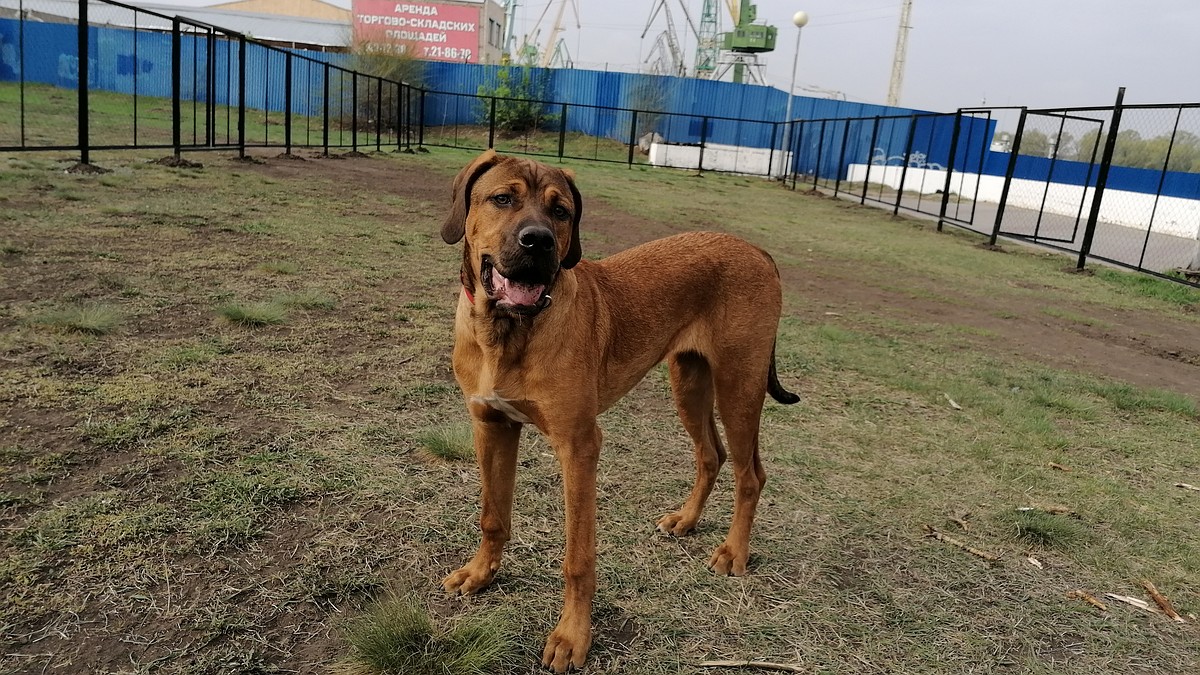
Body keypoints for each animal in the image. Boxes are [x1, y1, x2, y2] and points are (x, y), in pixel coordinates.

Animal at [441, 149, 796, 667]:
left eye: (561, 211)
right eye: (501, 199)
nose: (539, 242)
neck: (508, 332)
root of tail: (757, 250)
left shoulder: (579, 446)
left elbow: (578, 556)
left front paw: (572, 636)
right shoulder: (491, 424)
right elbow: (493, 516)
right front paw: (480, 573)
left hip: (739, 386)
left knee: (751, 473)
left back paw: (734, 551)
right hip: (689, 381)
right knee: (711, 454)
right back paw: (687, 520)